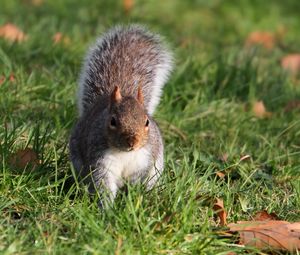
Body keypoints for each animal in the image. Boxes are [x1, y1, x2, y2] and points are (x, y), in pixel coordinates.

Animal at [69, 24, 173, 207]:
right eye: (113, 121)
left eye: (147, 122)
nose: (132, 142)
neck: (125, 153)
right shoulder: (101, 161)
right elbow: (103, 184)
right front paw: (106, 208)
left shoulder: (145, 160)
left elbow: (138, 179)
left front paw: (134, 197)